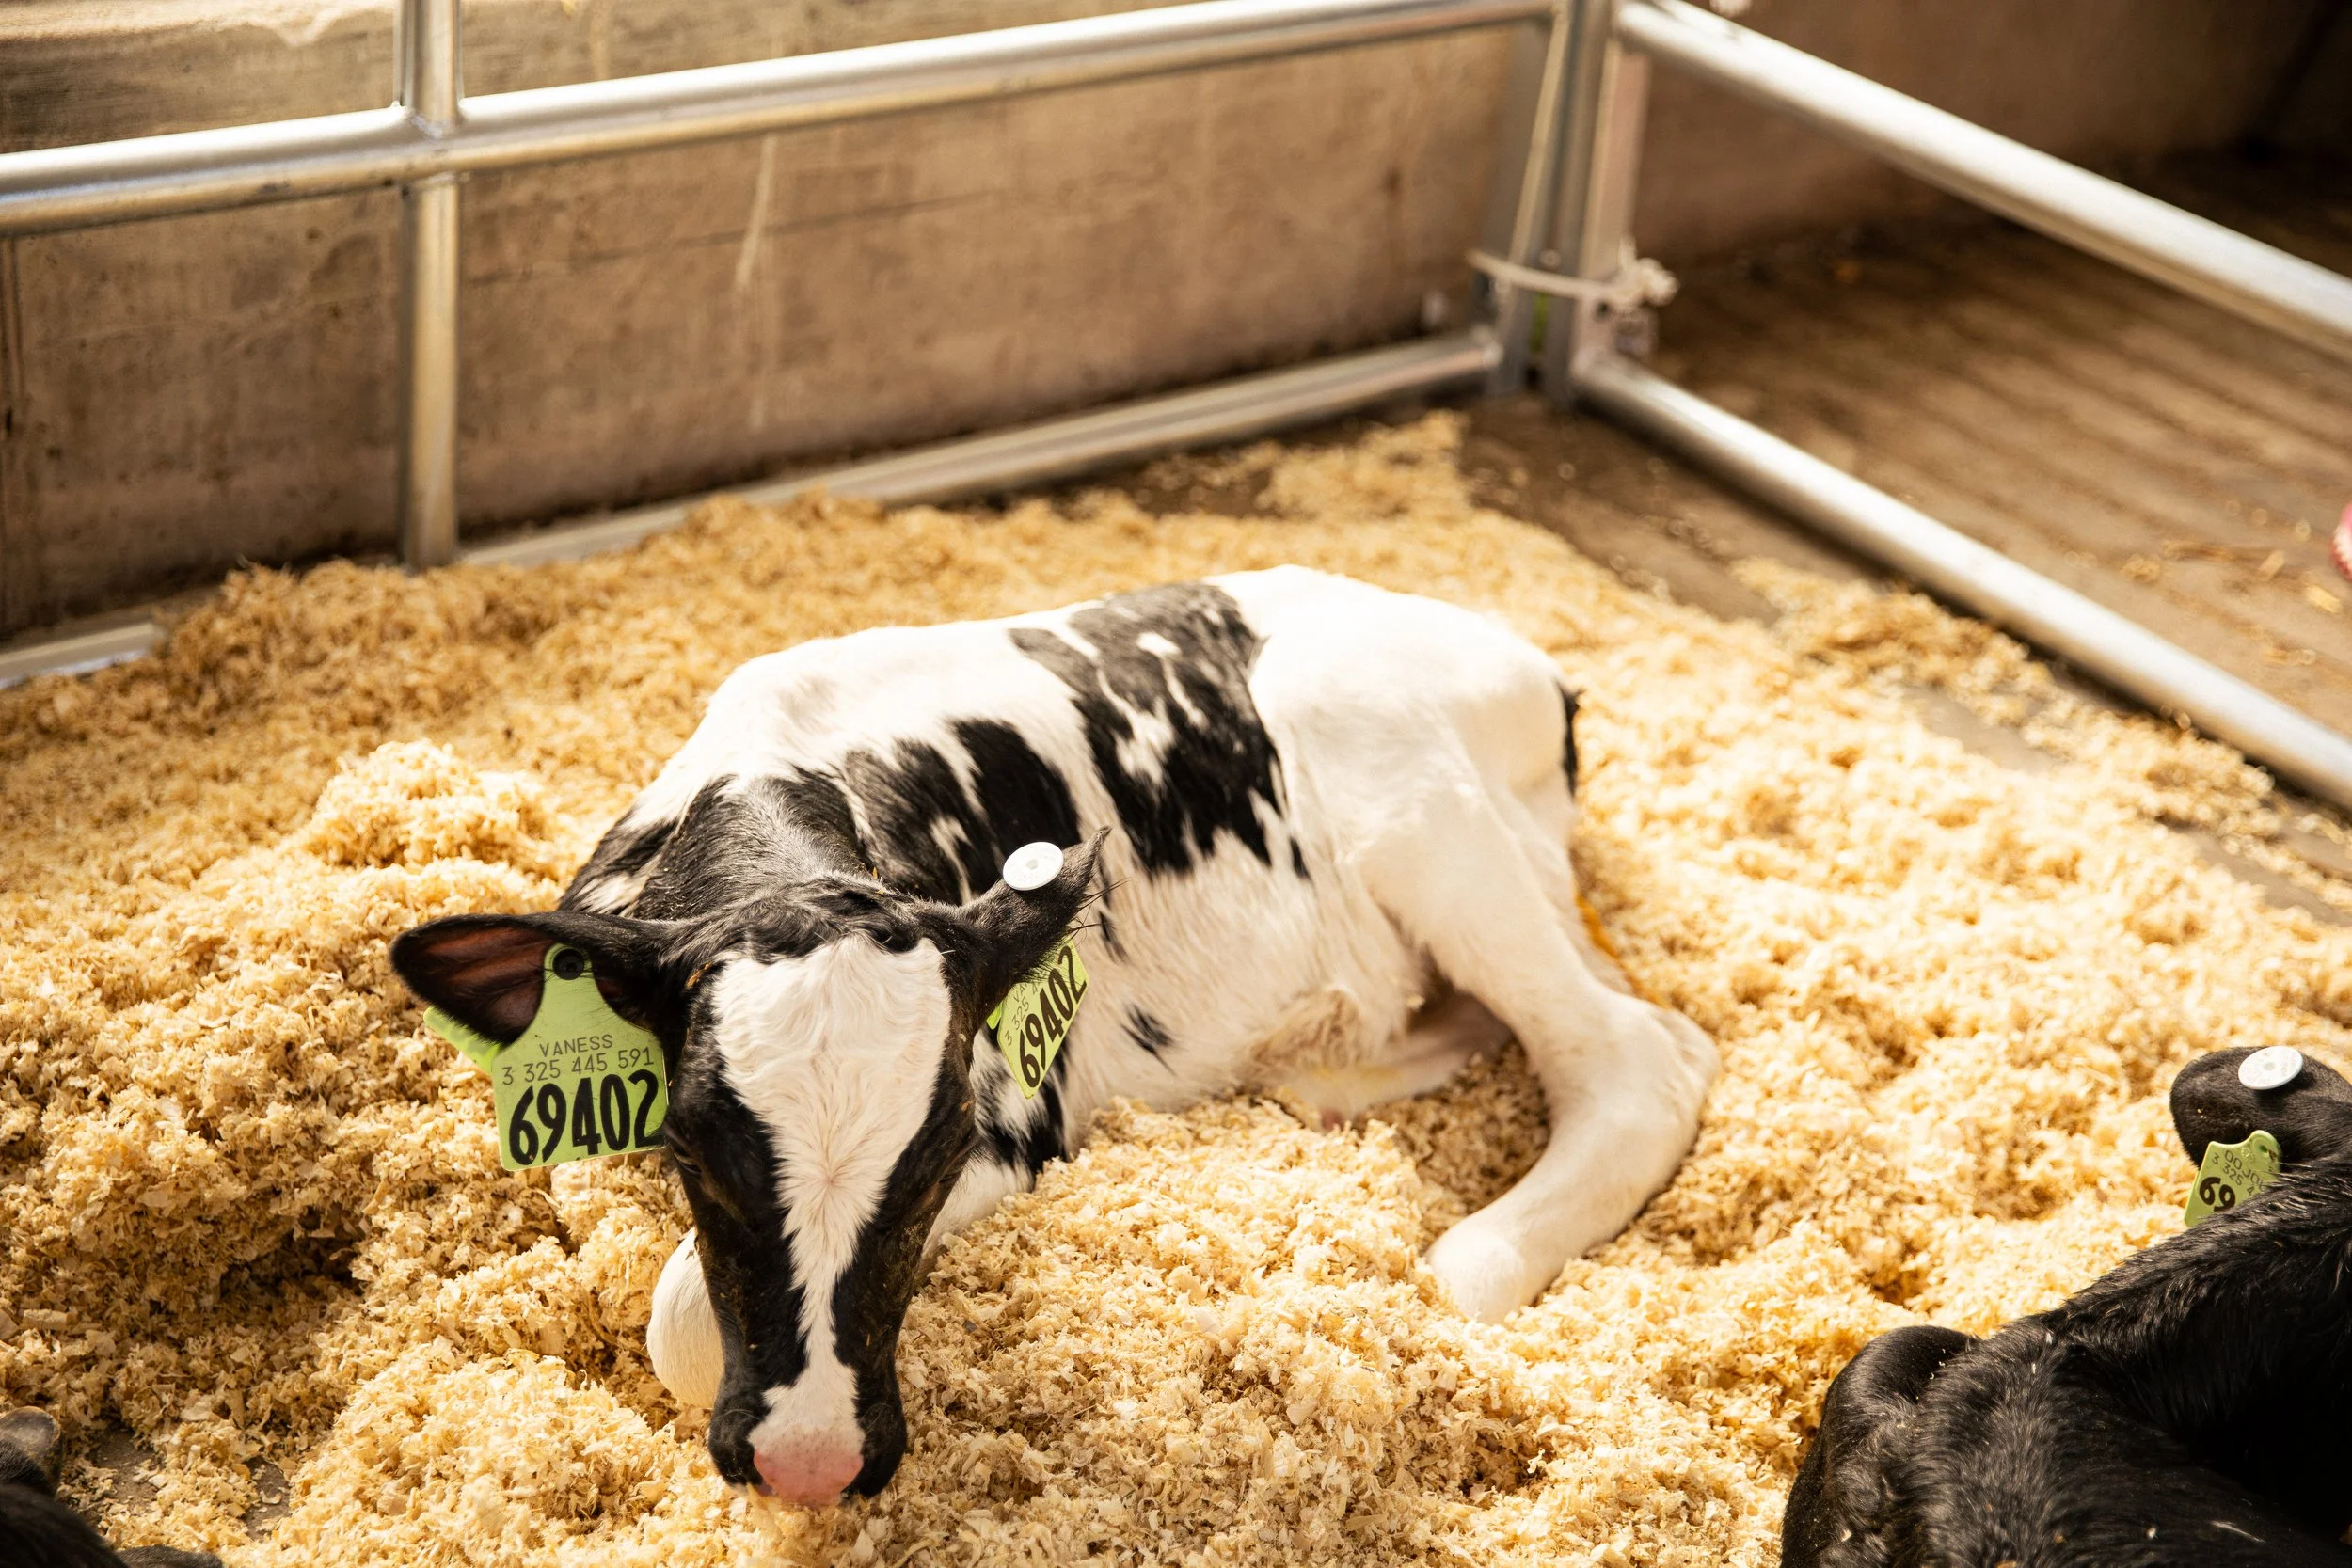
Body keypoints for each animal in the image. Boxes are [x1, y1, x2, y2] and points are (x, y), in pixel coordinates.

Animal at [390, 567, 1718, 1507]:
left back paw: (1461, 1268)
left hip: (1426, 816)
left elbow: (675, 1319)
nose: (816, 1460)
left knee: (1640, 1055)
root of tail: (1524, 661)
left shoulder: (1018, 1119)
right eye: (693, 1150)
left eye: (936, 1157)